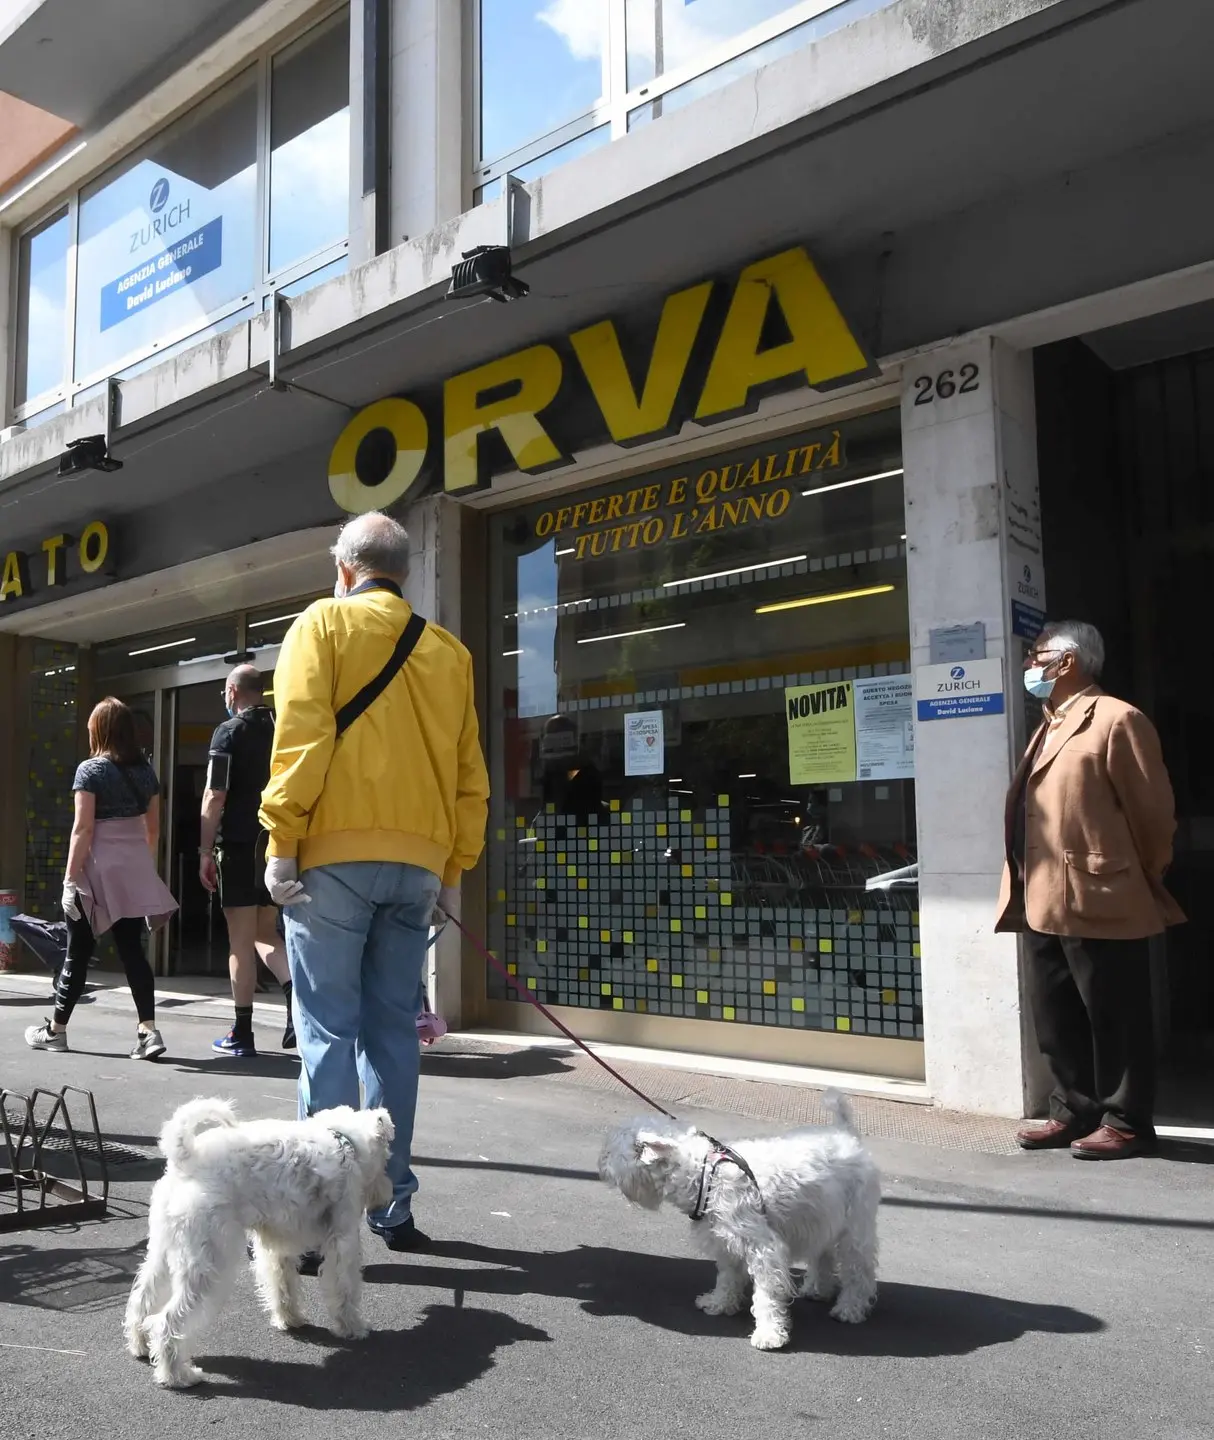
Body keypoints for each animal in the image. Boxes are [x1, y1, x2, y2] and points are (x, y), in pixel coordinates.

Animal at [123, 1094, 391, 1388]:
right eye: (388, 1155)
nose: (386, 1194)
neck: (346, 1144)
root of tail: (185, 1158)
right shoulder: (343, 1243)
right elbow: (345, 1289)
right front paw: (353, 1328)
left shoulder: (277, 1249)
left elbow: (282, 1286)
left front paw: (289, 1319)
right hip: (207, 1265)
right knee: (166, 1322)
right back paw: (178, 1376)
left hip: (164, 1252)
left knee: (141, 1301)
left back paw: (140, 1346)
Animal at [601, 1088, 875, 1347]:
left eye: (610, 1151)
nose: (600, 1165)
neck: (703, 1174)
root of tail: (845, 1133)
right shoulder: (725, 1243)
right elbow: (727, 1278)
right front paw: (719, 1303)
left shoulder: (762, 1248)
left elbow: (766, 1294)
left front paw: (769, 1334)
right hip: (822, 1219)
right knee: (823, 1256)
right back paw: (817, 1290)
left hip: (854, 1229)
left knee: (858, 1271)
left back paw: (849, 1309)